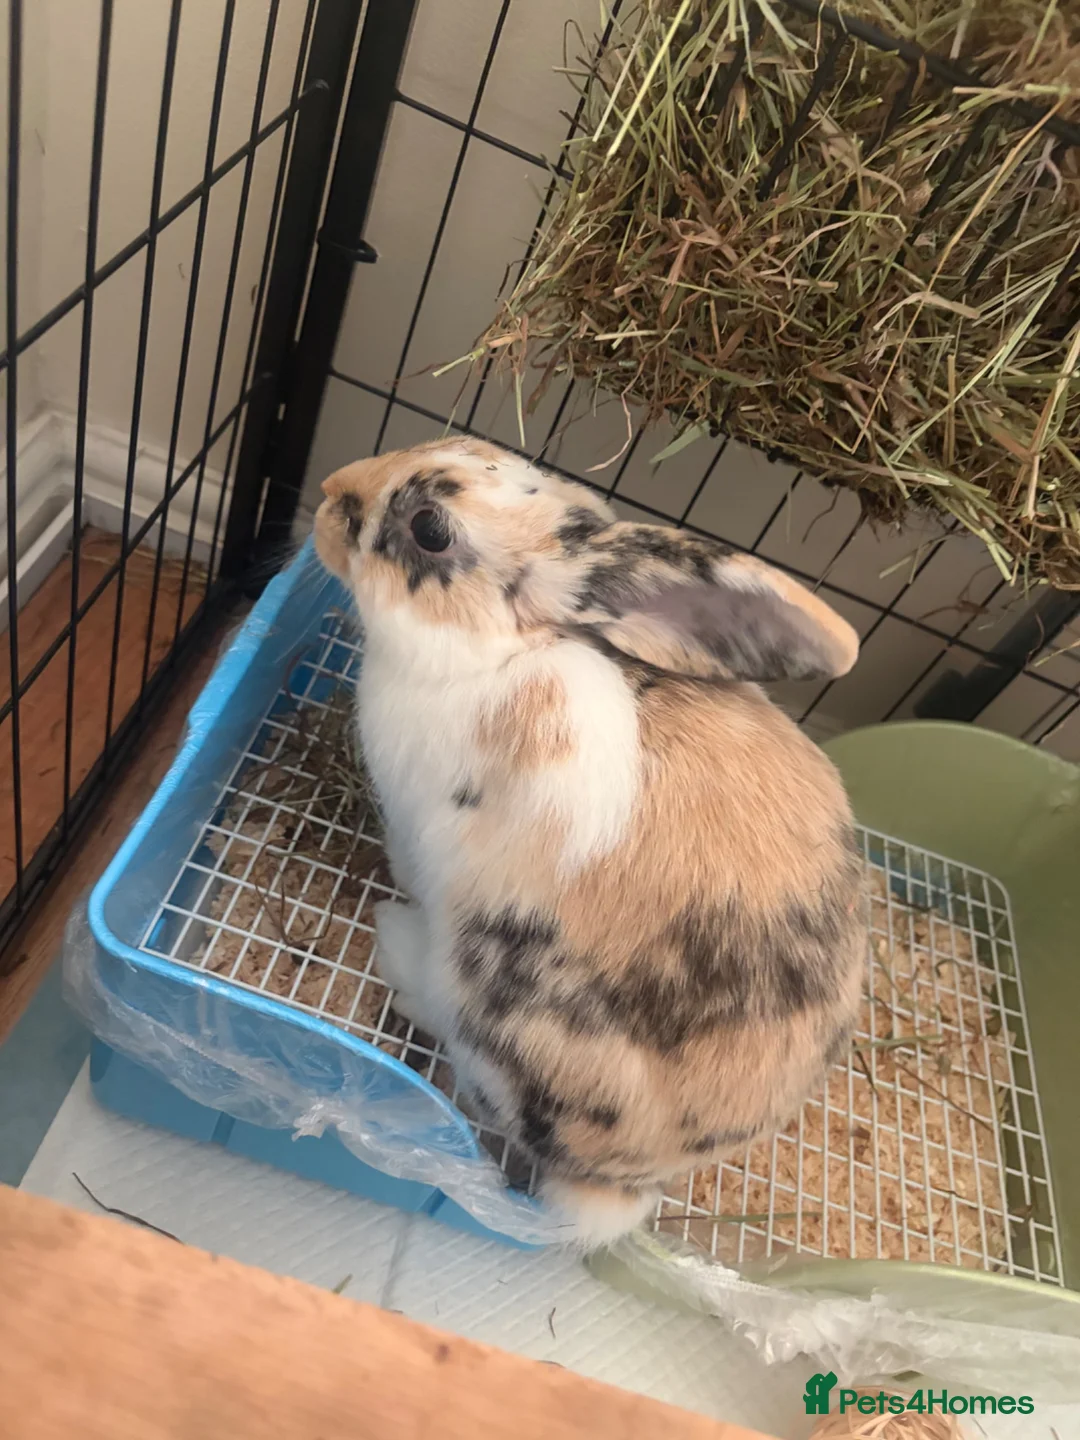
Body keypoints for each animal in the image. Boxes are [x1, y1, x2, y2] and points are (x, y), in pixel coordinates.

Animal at [314, 435, 866, 1248]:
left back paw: (394, 943)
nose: (329, 491)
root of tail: (621, 1188)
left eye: (430, 530)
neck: (502, 651)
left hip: (489, 995)